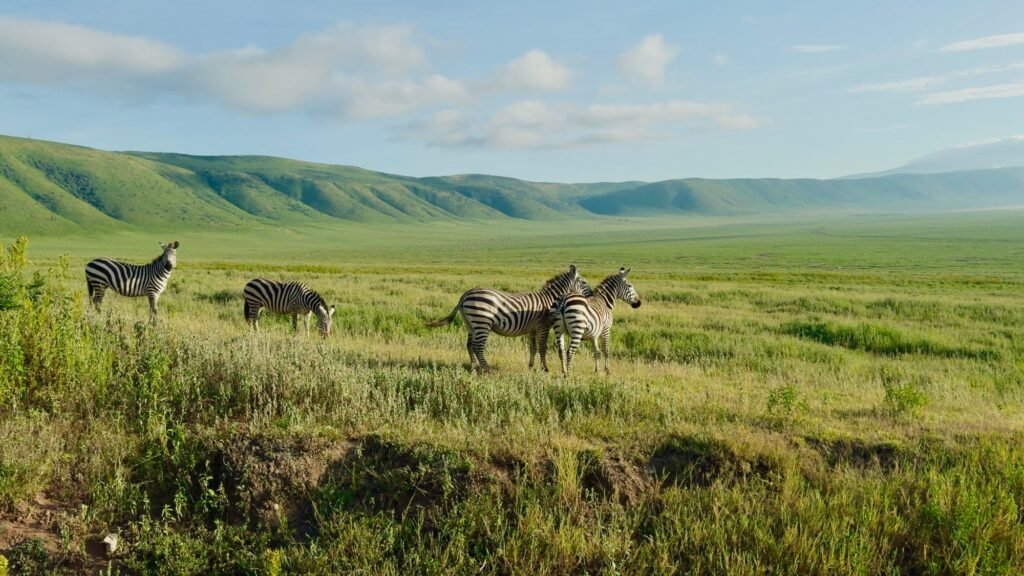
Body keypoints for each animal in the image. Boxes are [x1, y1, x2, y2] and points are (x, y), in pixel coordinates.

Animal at [426, 265, 592, 371]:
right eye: (584, 282)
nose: (591, 295)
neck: (550, 300)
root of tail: (466, 294)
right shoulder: (543, 326)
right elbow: (543, 348)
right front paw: (545, 368)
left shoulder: (532, 329)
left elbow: (533, 348)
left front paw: (531, 367)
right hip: (482, 322)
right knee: (478, 347)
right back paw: (487, 369)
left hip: (470, 324)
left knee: (469, 345)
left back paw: (474, 368)